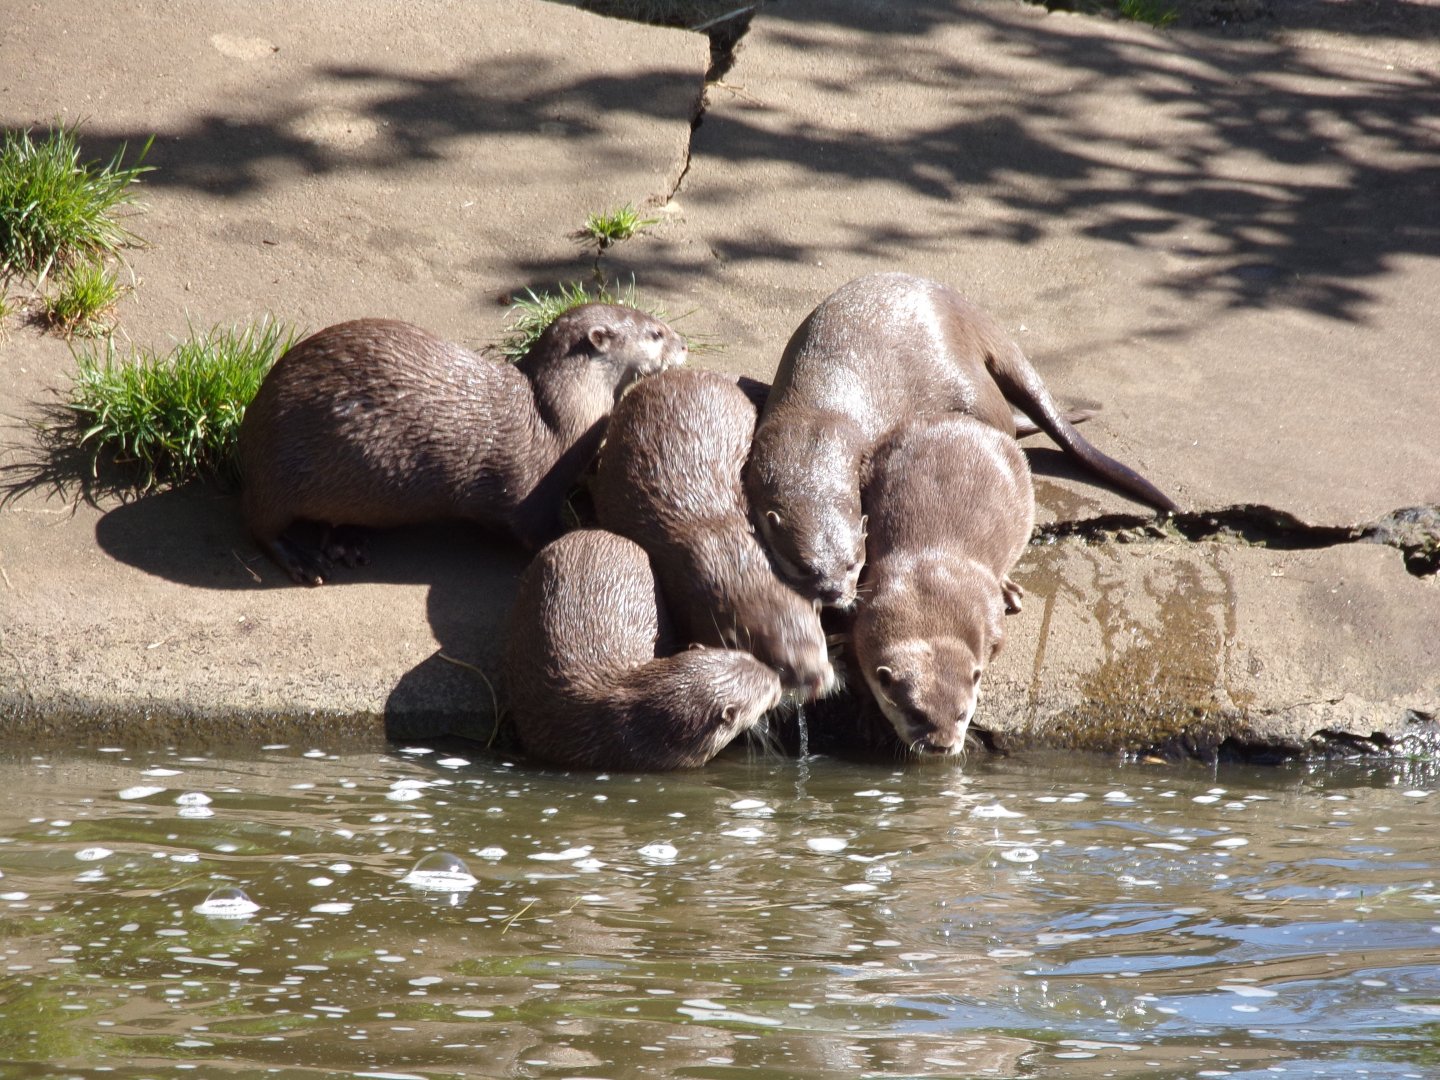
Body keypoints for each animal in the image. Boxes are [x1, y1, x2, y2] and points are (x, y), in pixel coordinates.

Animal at [238, 306, 686, 584]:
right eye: (656, 332)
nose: (682, 345)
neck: (557, 419)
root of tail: (251, 425)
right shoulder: (531, 499)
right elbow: (536, 530)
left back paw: (346, 542)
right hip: (281, 467)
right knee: (260, 524)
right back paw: (303, 560)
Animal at [745, 271, 1176, 606]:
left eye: (854, 561)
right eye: (804, 566)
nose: (836, 593)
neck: (819, 421)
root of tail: (966, 312)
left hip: (969, 386)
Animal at [852, 413, 1035, 756]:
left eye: (963, 714)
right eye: (915, 714)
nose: (942, 745)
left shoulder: (990, 620)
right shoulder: (863, 621)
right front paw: (869, 717)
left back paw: (1011, 591)